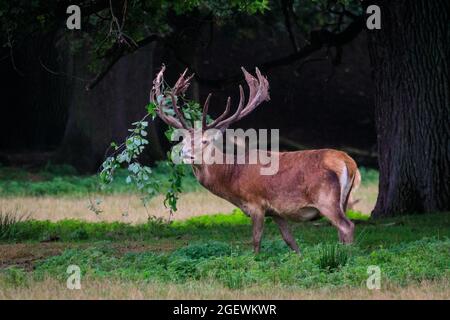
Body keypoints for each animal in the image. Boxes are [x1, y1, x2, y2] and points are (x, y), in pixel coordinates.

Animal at [149, 65, 360, 255]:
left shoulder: (256, 203)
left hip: (325, 197)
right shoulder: (276, 211)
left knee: (347, 226)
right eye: (182, 140)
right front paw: (298, 259)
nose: (185, 154)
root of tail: (348, 162)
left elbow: (256, 241)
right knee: (341, 230)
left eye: (205, 140)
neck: (232, 177)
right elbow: (290, 240)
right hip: (344, 199)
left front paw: (255, 262)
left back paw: (347, 259)